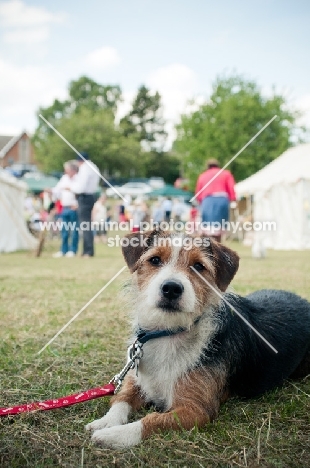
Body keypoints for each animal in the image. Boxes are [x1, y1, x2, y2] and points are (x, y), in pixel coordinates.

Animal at [86, 232, 310, 448]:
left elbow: (152, 420)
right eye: (155, 259)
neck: (169, 332)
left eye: (199, 266)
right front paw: (106, 422)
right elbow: (120, 399)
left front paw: (114, 435)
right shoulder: (136, 380)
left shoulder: (195, 410)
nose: (171, 288)